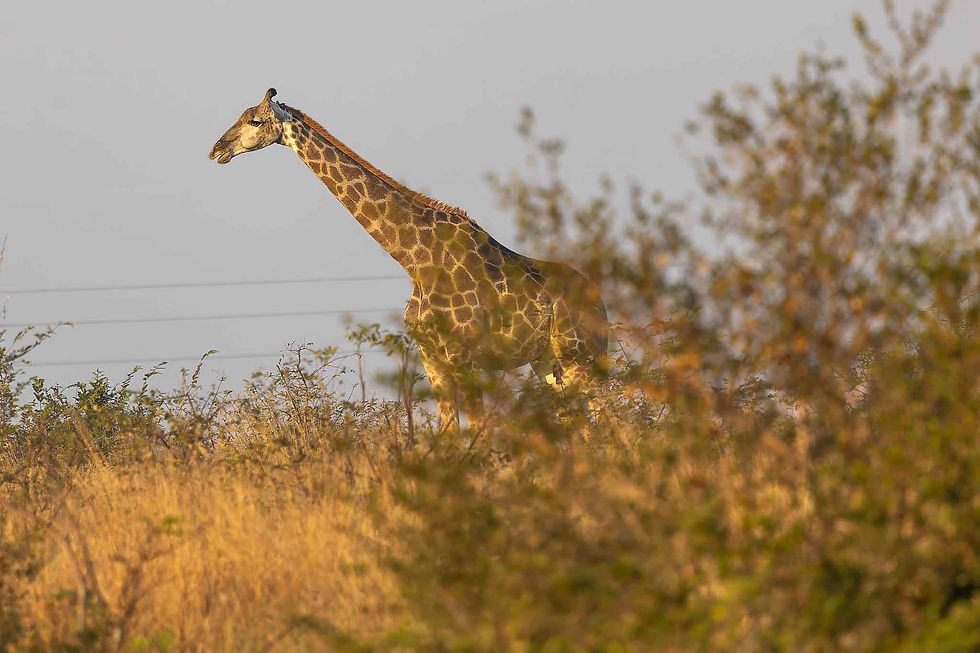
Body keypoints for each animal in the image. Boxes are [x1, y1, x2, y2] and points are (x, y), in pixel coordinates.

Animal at [209, 89, 608, 432]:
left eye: (255, 121)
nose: (217, 149)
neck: (415, 260)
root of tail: (600, 300)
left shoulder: (464, 357)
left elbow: (480, 434)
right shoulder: (432, 359)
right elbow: (450, 436)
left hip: (579, 354)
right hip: (547, 362)